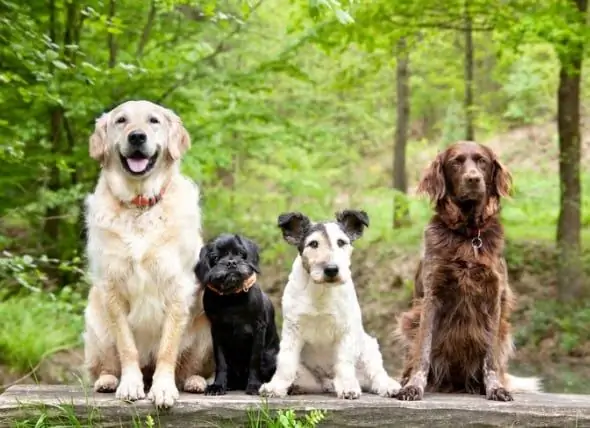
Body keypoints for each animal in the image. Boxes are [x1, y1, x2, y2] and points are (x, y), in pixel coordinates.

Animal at [82, 99, 213, 408]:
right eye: (121, 120)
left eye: (154, 120)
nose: (137, 137)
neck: (140, 205)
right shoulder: (113, 288)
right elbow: (126, 347)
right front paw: (131, 385)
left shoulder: (178, 286)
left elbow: (167, 349)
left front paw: (163, 388)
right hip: (95, 324)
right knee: (106, 364)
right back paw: (108, 380)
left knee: (189, 367)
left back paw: (195, 382)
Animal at [195, 234, 280, 394]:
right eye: (216, 257)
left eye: (240, 253)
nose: (231, 262)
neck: (232, 296)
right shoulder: (217, 332)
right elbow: (221, 362)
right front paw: (218, 385)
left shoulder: (258, 330)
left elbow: (254, 360)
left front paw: (254, 385)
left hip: (270, 357)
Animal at [398, 142, 540, 402]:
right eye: (456, 162)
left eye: (482, 161)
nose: (473, 179)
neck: (468, 235)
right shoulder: (431, 297)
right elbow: (422, 351)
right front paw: (414, 386)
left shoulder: (493, 297)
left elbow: (490, 358)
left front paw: (495, 388)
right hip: (409, 320)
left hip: (505, 331)